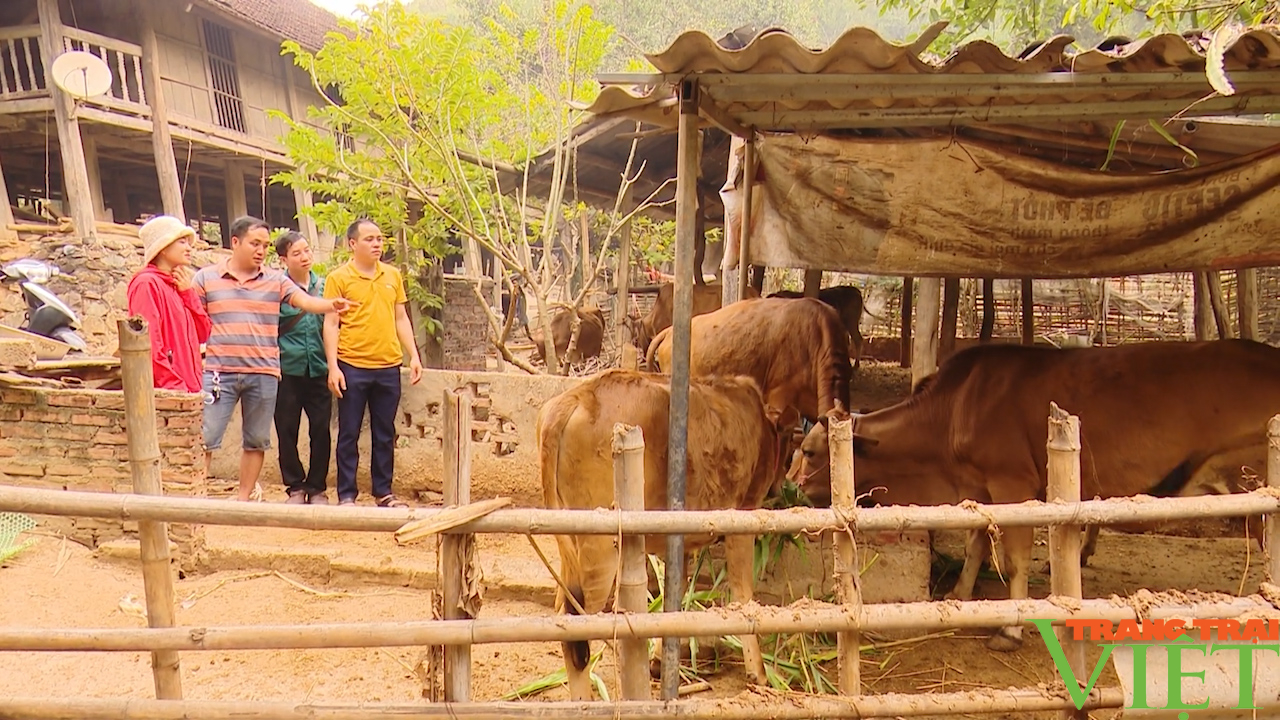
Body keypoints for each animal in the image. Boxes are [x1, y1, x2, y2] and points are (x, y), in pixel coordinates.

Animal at [535, 366, 783, 696]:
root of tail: (576, 396)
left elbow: (672, 594)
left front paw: (658, 662)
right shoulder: (743, 514)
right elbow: (743, 594)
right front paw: (758, 674)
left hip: (571, 544)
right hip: (599, 548)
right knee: (575, 627)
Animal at [788, 338, 1280, 648]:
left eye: (810, 451)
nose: (791, 487)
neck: (953, 411)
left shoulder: (1013, 485)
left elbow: (1013, 559)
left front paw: (1009, 630)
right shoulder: (982, 489)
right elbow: (975, 545)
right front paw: (958, 595)